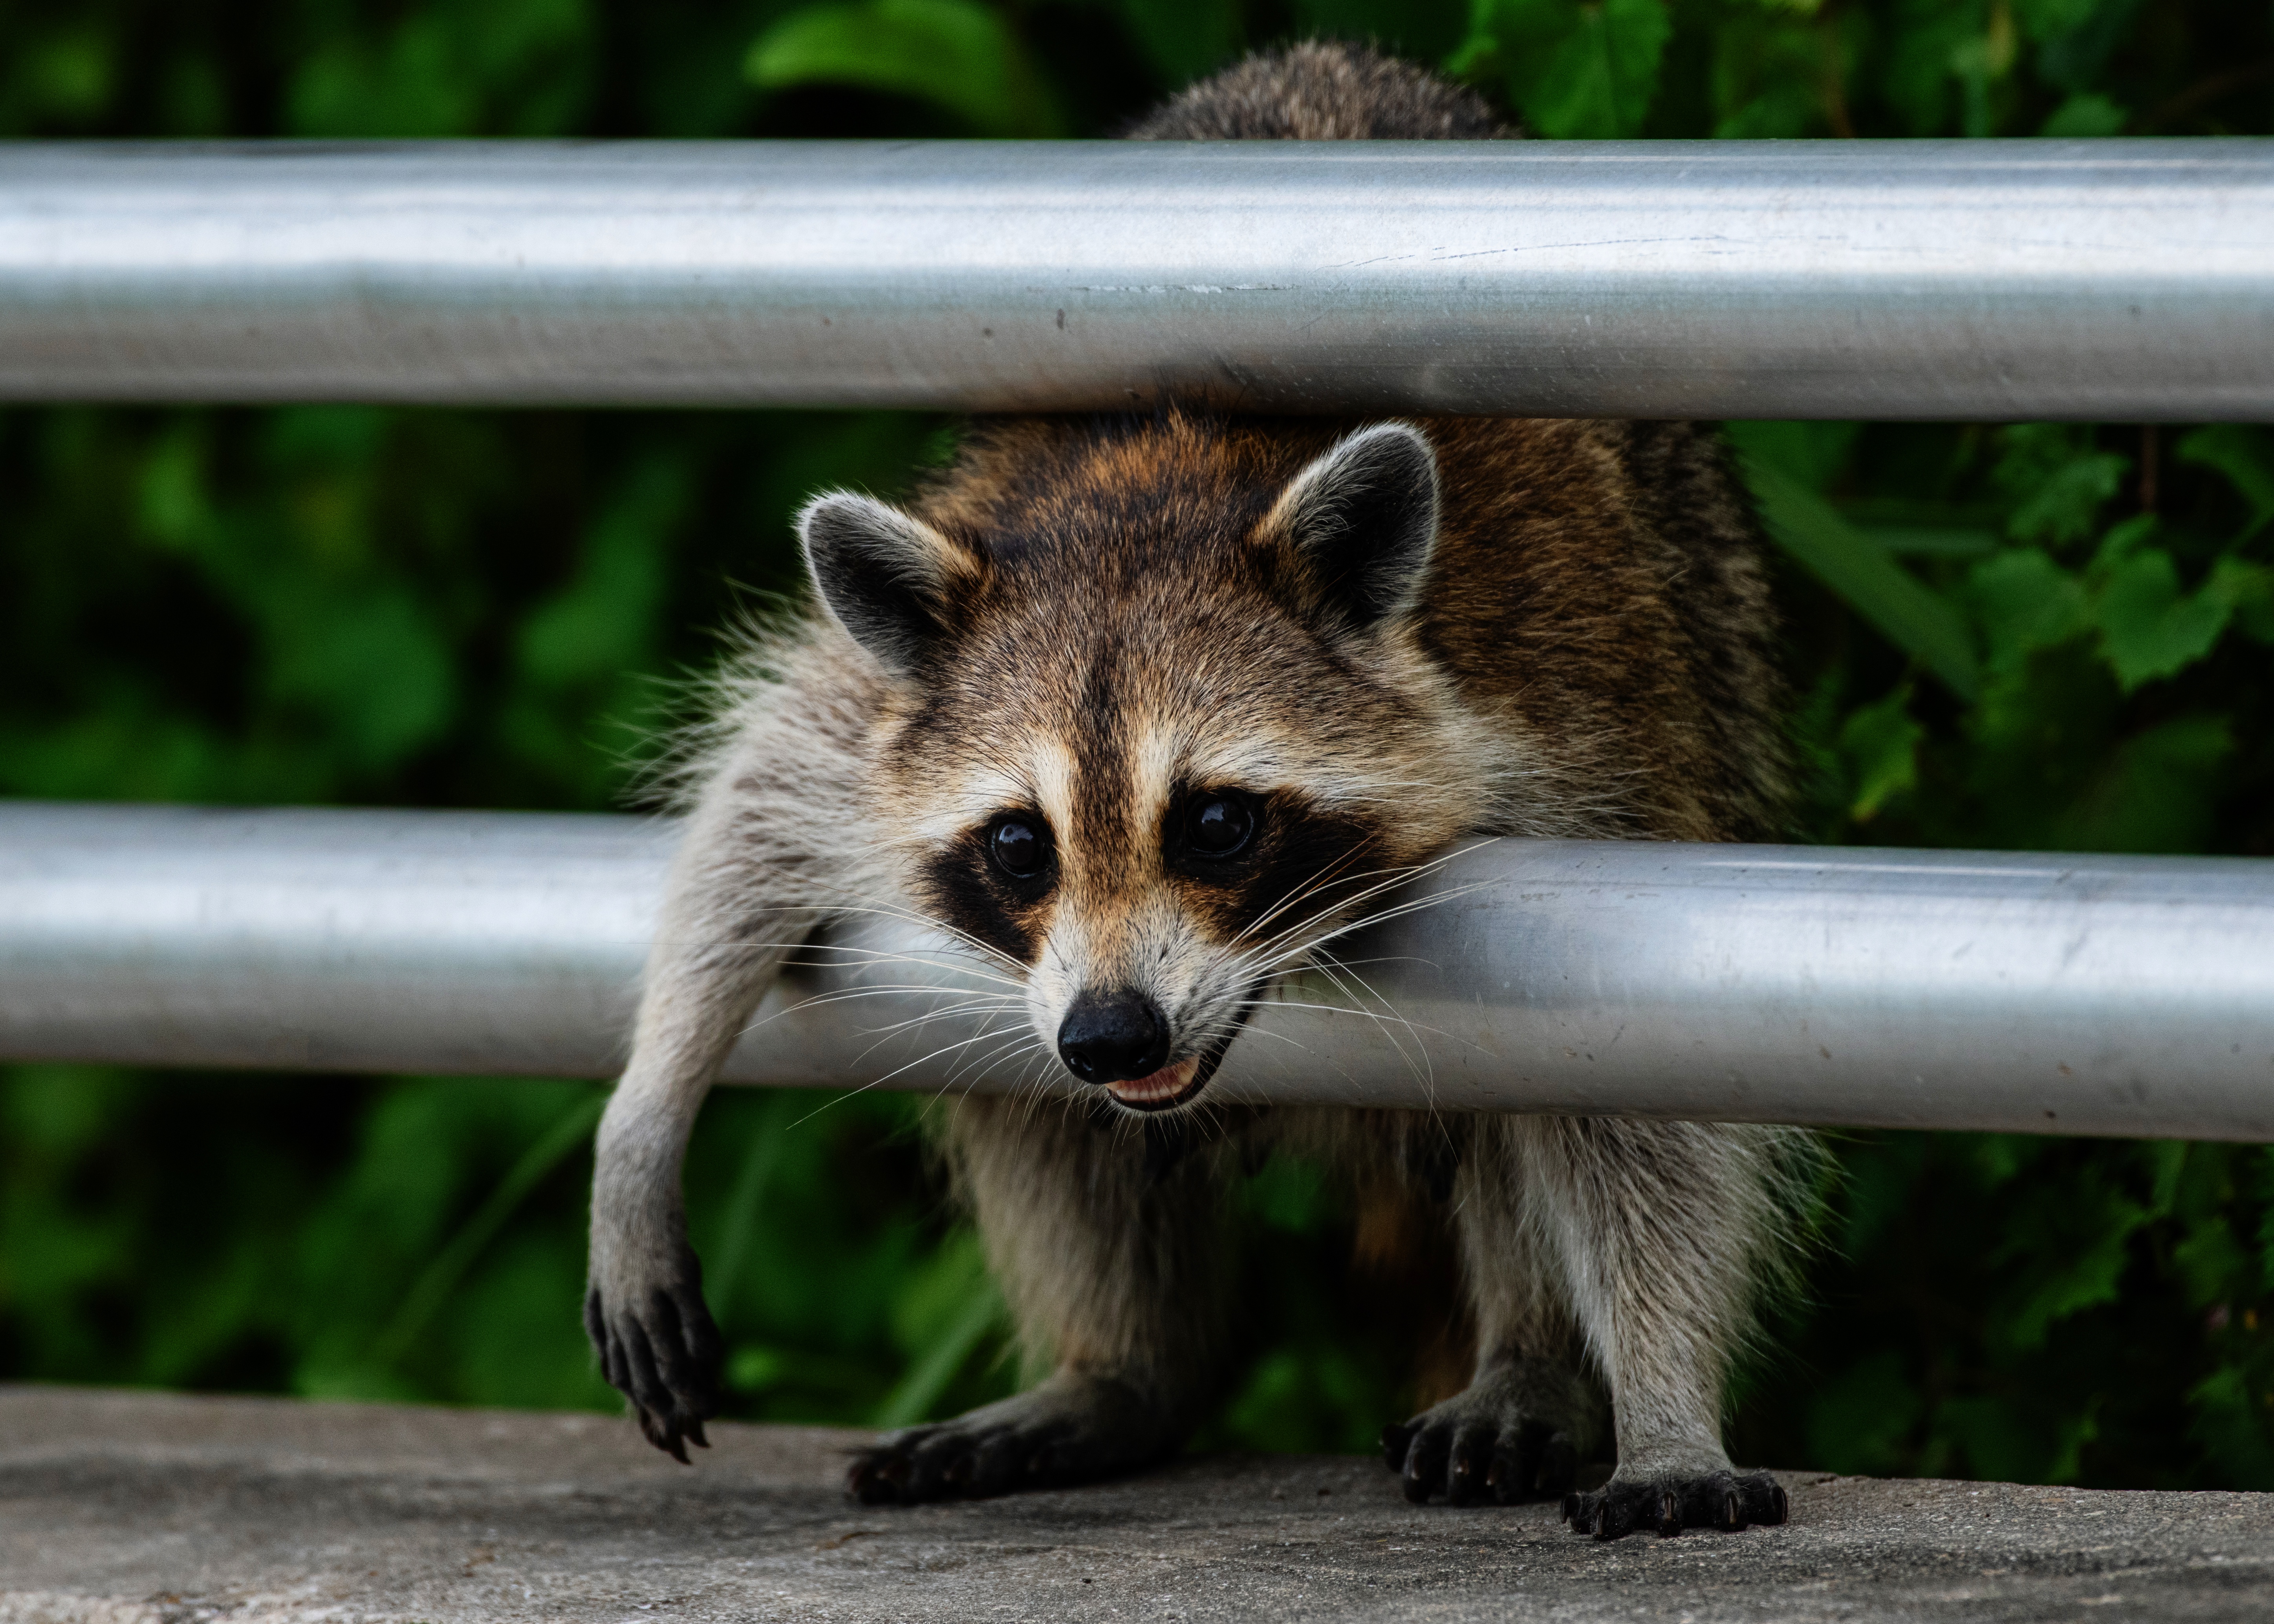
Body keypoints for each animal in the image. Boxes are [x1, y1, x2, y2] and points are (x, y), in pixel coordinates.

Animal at [586, 38, 1810, 1528]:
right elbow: (761, 799)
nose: (1113, 1035)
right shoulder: (906, 700)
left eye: (1216, 823)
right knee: (1032, 1113)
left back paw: (1524, 1359)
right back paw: (1120, 1370)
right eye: (1021, 845)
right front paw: (644, 1114)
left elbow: (1639, 1104)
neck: (1158, 511)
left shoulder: (1592, 738)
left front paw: (1663, 1401)